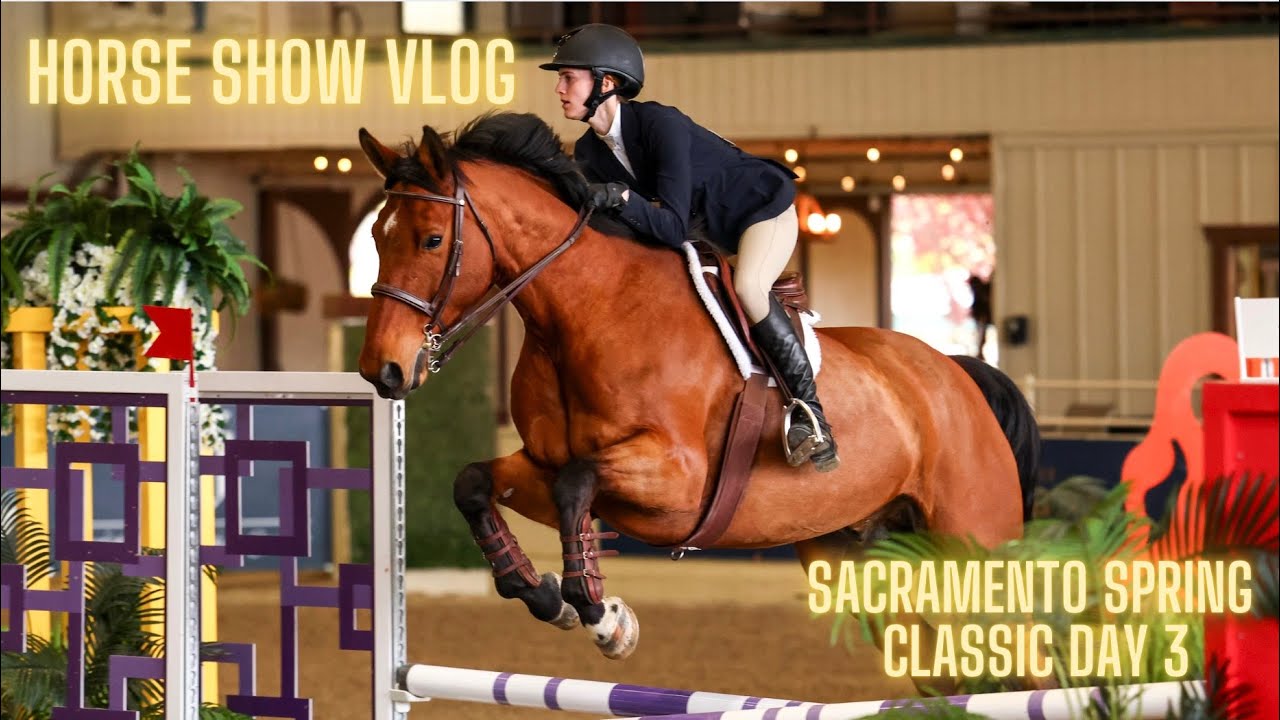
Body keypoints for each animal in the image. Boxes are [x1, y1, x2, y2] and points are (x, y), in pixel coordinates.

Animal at [355, 113, 1040, 669]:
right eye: (376, 238)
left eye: (432, 239)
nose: (381, 371)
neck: (589, 311)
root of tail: (957, 373)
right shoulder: (545, 466)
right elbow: (476, 484)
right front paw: (548, 596)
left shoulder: (679, 482)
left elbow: (576, 483)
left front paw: (605, 618)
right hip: (859, 555)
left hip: (974, 541)